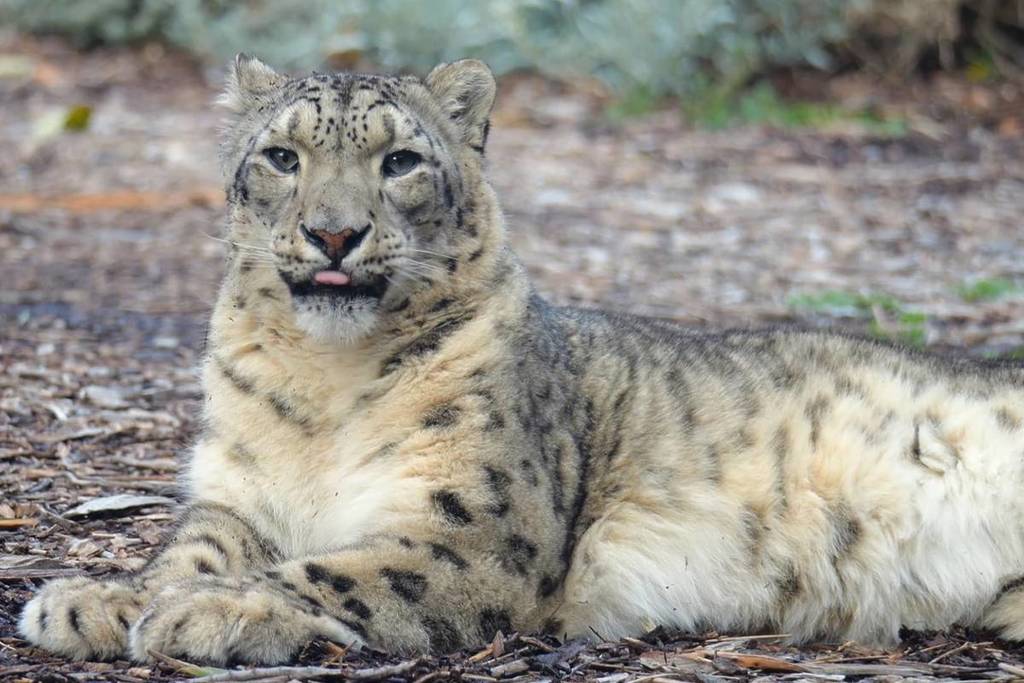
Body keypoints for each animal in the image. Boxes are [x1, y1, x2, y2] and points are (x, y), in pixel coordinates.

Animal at [20, 55, 1024, 665]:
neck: (325, 383)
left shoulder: (472, 524)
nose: (333, 233)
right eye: (279, 155)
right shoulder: (237, 491)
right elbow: (190, 545)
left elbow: (332, 570)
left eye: (400, 161)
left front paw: (204, 610)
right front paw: (100, 598)